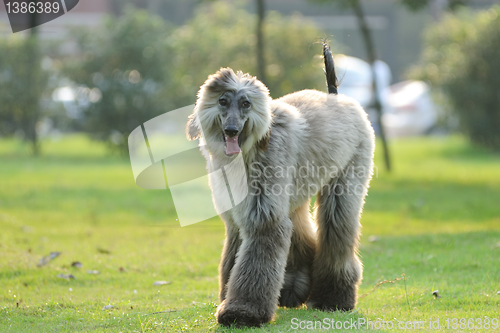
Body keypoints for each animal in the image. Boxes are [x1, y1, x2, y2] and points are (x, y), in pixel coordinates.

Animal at [187, 42, 376, 326]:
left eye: (246, 103)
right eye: (222, 101)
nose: (231, 130)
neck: (251, 148)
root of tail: (335, 96)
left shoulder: (263, 214)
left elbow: (257, 255)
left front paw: (243, 311)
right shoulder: (237, 215)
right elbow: (233, 255)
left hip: (345, 180)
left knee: (336, 229)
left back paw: (333, 298)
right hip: (294, 194)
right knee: (301, 235)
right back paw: (294, 290)